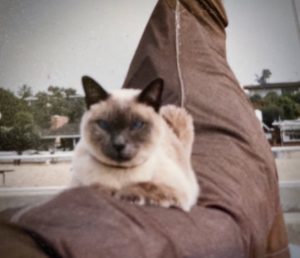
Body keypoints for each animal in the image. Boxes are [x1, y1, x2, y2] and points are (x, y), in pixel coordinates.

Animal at [70, 75, 199, 212]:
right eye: (104, 125)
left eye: (137, 125)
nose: (119, 144)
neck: (120, 173)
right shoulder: (79, 183)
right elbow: (96, 186)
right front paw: (108, 190)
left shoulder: (177, 189)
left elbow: (145, 185)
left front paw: (123, 194)